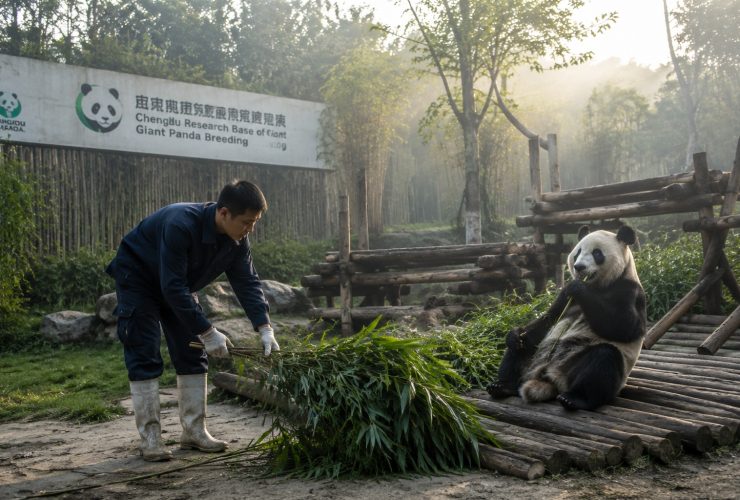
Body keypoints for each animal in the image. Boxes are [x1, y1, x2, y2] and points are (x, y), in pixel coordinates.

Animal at [487, 224, 646, 411]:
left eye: (597, 253)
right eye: (578, 252)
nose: (579, 267)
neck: (596, 286)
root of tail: (548, 378)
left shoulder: (628, 290)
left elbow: (625, 326)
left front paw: (577, 287)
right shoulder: (563, 296)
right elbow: (549, 318)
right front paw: (514, 334)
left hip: (576, 365)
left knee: (603, 359)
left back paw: (575, 398)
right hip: (533, 361)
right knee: (520, 349)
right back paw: (503, 384)